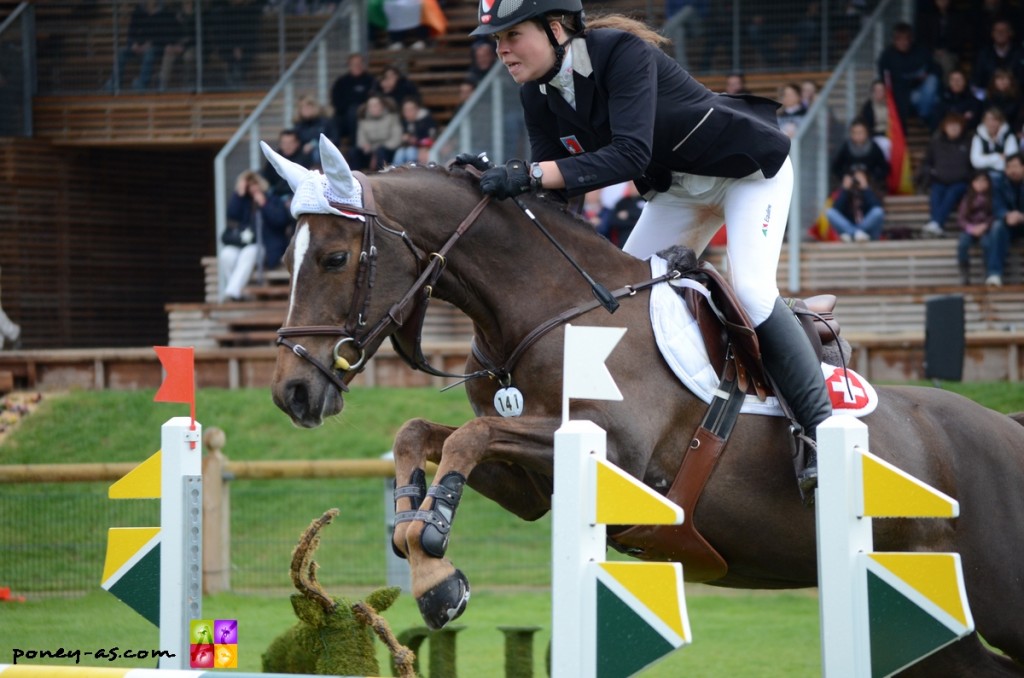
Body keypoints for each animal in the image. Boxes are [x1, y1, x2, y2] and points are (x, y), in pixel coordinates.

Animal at [262, 135, 1024, 675]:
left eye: (333, 258)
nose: (291, 393)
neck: (542, 312)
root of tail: (1009, 429)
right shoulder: (532, 486)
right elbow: (423, 432)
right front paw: (420, 547)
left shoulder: (619, 457)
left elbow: (468, 434)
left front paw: (436, 561)